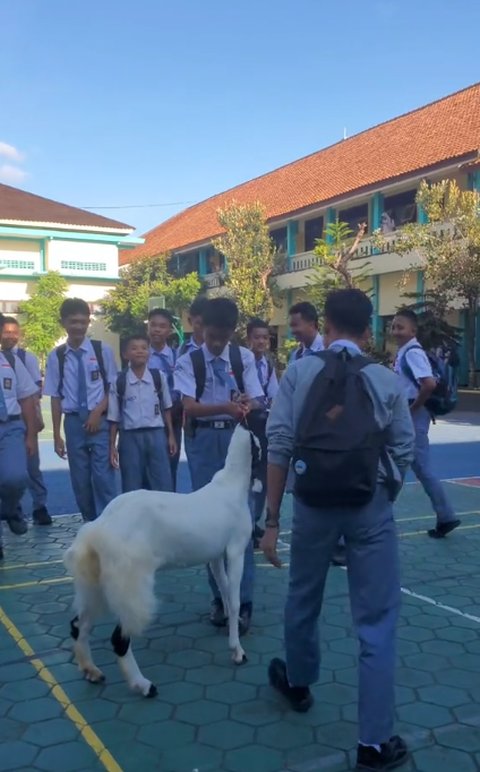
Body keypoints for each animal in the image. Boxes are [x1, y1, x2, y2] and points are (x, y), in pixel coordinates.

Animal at [63, 422, 260, 700]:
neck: (230, 484)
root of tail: (99, 528)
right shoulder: (235, 550)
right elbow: (234, 600)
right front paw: (237, 651)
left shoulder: (214, 556)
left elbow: (223, 590)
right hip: (130, 586)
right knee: (119, 639)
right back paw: (143, 685)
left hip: (95, 584)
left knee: (79, 625)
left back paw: (91, 671)